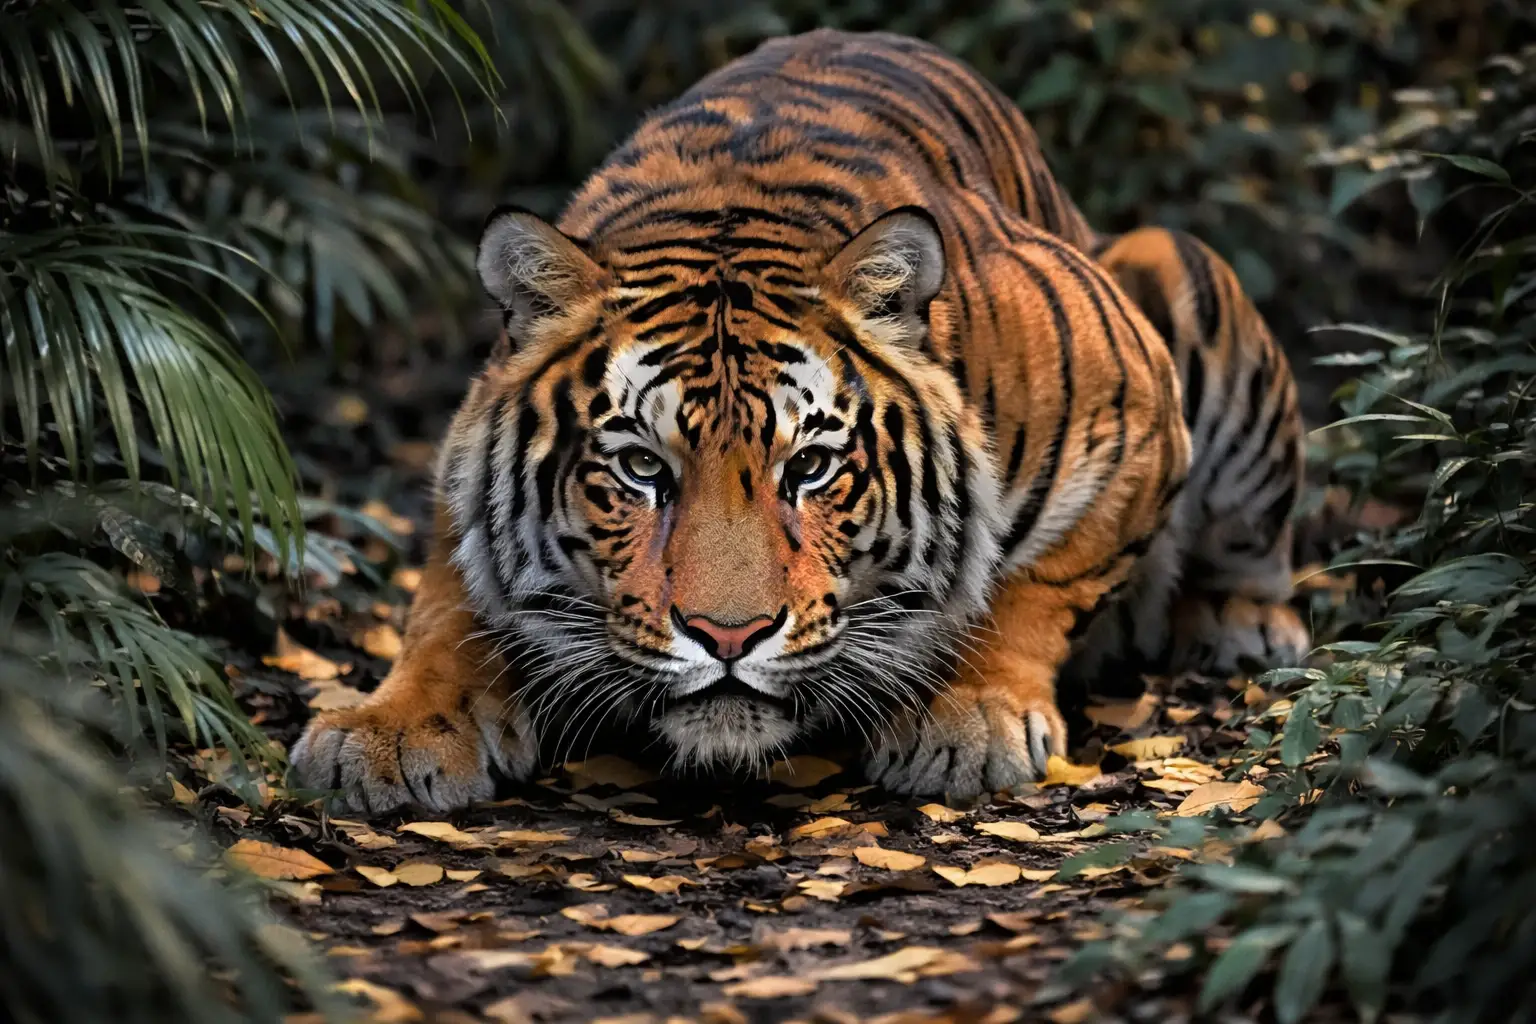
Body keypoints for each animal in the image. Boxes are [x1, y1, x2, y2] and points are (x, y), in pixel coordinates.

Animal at [291, 29, 1307, 815]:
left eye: (810, 468)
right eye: (643, 469)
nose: (728, 638)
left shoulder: (1131, 404)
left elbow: (1034, 582)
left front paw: (968, 719)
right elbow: (447, 607)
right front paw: (385, 733)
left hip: (1174, 265)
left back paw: (1243, 624)